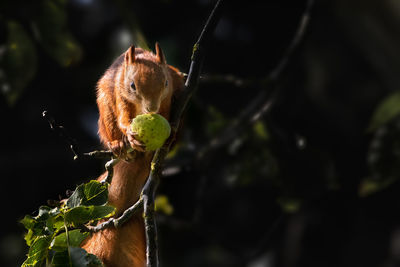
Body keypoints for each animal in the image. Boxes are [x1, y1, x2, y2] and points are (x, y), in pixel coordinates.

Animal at [82, 44, 185, 267]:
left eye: (165, 83)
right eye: (132, 86)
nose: (152, 108)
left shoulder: (172, 91)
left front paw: (169, 130)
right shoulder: (120, 94)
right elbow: (123, 117)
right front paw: (128, 134)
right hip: (105, 110)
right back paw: (119, 145)